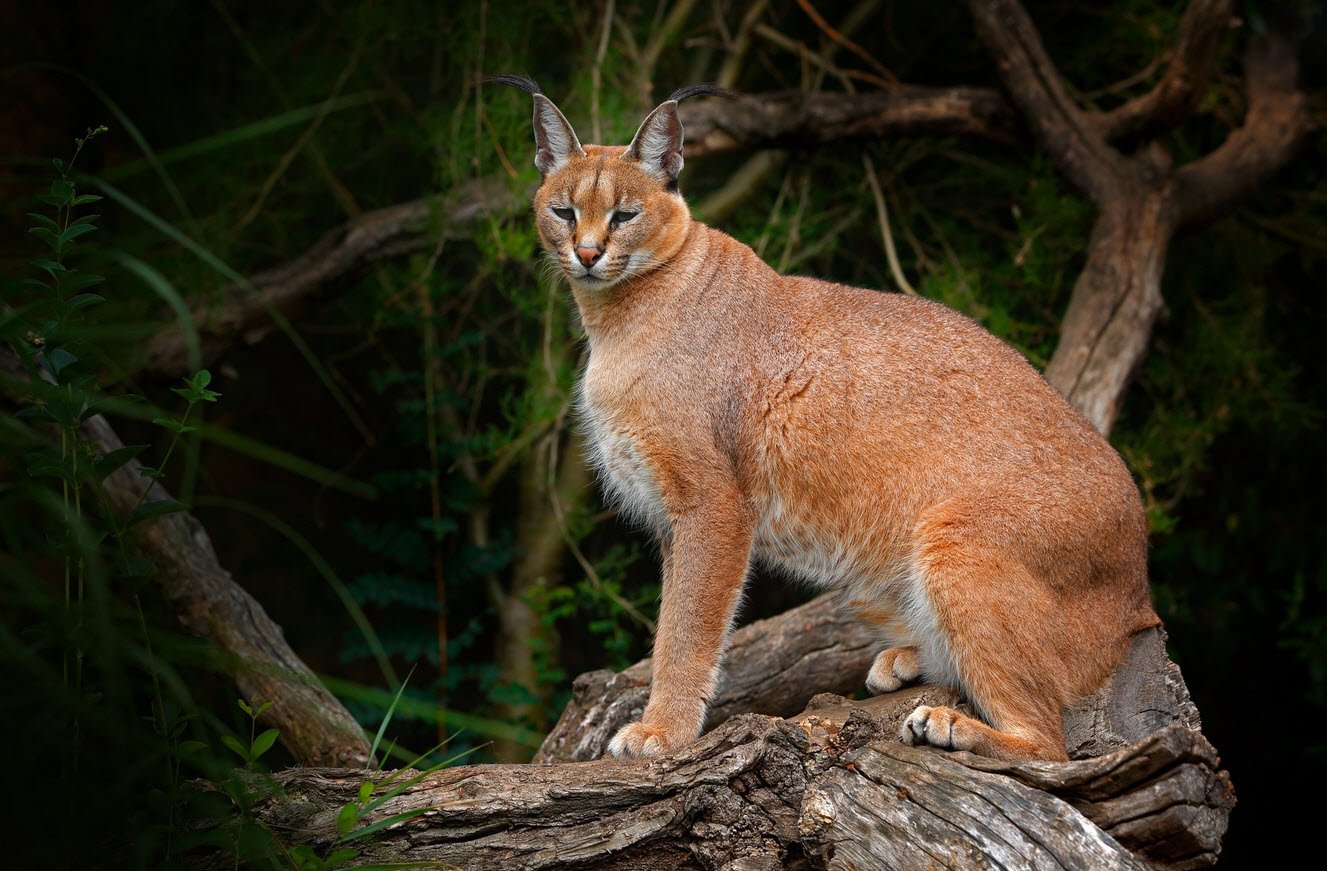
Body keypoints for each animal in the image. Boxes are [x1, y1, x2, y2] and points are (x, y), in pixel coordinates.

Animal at [490, 75, 1162, 759]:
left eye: (625, 214)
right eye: (563, 211)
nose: (587, 253)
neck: (616, 316)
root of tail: (1142, 596)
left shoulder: (713, 504)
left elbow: (686, 628)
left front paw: (663, 732)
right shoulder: (672, 515)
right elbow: (668, 624)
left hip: (954, 535)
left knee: (1050, 743)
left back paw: (950, 724)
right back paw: (912, 661)